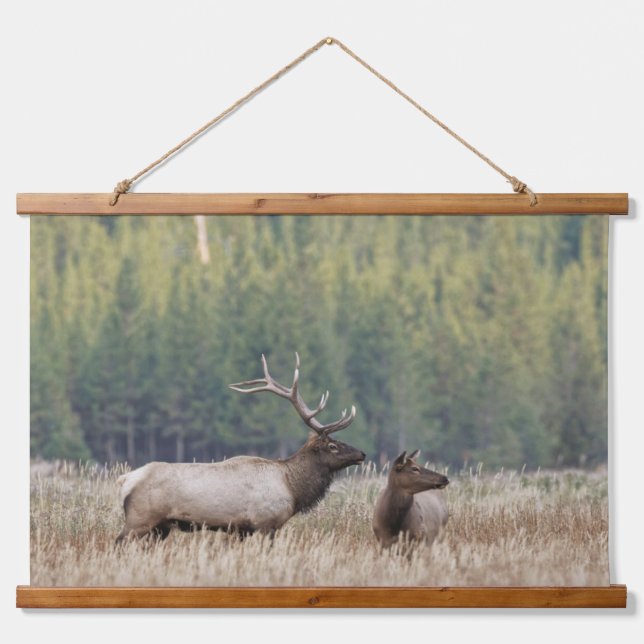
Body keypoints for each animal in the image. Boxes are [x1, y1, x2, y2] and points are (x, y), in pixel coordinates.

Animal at [116, 353, 365, 542]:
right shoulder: (265, 524)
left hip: (161, 527)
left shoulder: (241, 530)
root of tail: (125, 479)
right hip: (139, 520)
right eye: (332, 445)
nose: (362, 453)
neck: (292, 488)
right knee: (120, 541)